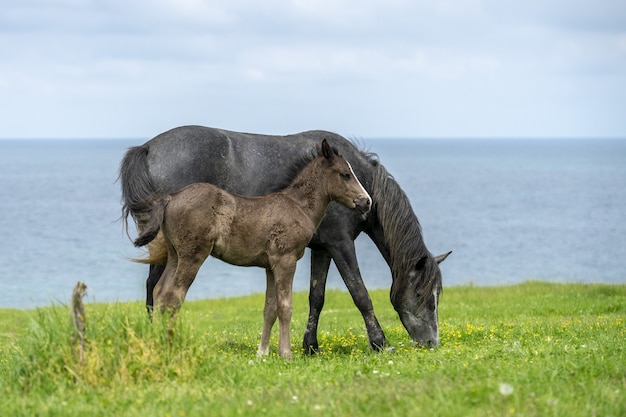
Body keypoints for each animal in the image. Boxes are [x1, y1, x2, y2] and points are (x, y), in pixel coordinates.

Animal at [118, 125, 448, 350]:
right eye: (422, 295)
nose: (432, 343)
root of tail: (147, 148)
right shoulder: (341, 244)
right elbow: (360, 294)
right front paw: (381, 343)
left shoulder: (322, 248)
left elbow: (317, 297)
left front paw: (310, 346)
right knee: (156, 291)